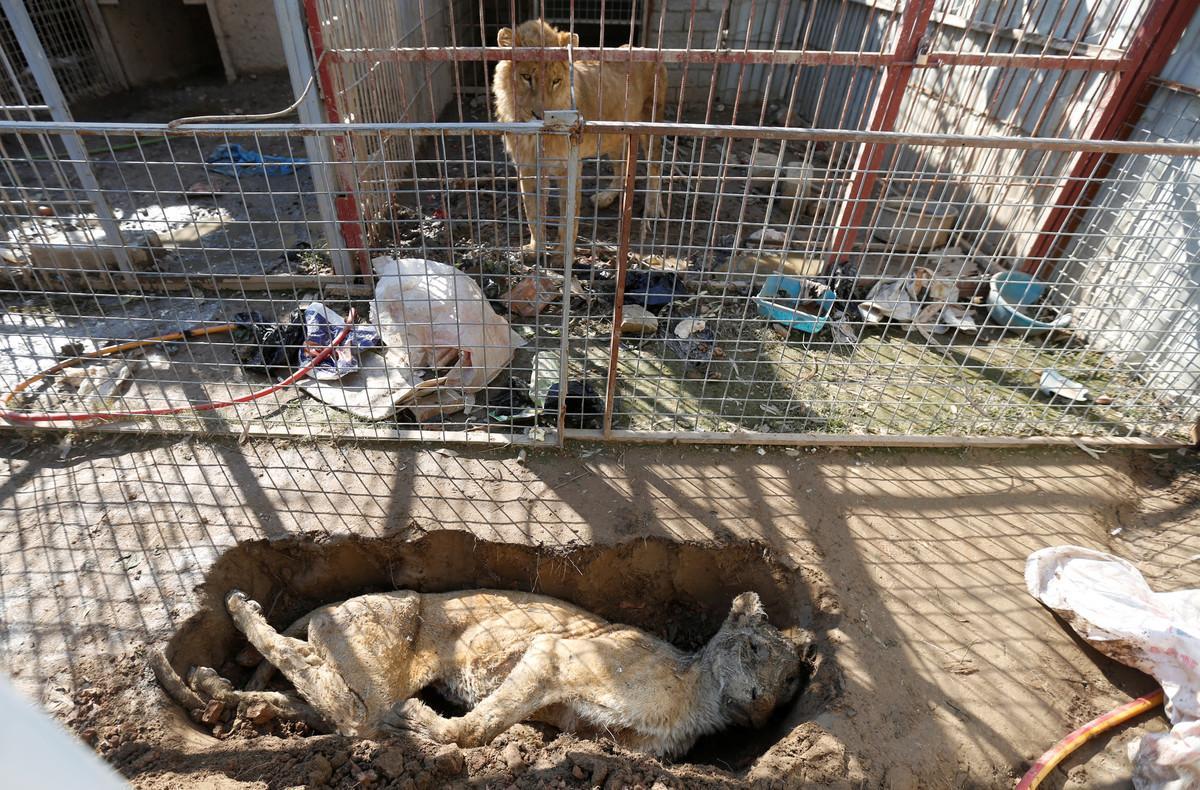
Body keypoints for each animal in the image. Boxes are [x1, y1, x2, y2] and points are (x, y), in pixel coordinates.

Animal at [157, 588, 796, 753]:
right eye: (755, 650)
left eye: (792, 680)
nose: (764, 702)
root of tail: (331, 605)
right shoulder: (553, 654)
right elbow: (478, 727)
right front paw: (432, 729)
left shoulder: (596, 729)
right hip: (380, 655)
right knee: (342, 703)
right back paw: (240, 610)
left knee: (317, 694)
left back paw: (222, 693)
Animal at [494, 19, 672, 252]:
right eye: (526, 77)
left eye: (556, 81)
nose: (540, 116)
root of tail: (646, 49)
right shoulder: (528, 167)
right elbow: (532, 211)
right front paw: (535, 249)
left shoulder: (568, 165)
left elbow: (567, 214)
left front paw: (562, 252)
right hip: (614, 135)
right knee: (622, 165)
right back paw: (606, 197)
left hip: (651, 122)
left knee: (655, 166)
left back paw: (652, 210)